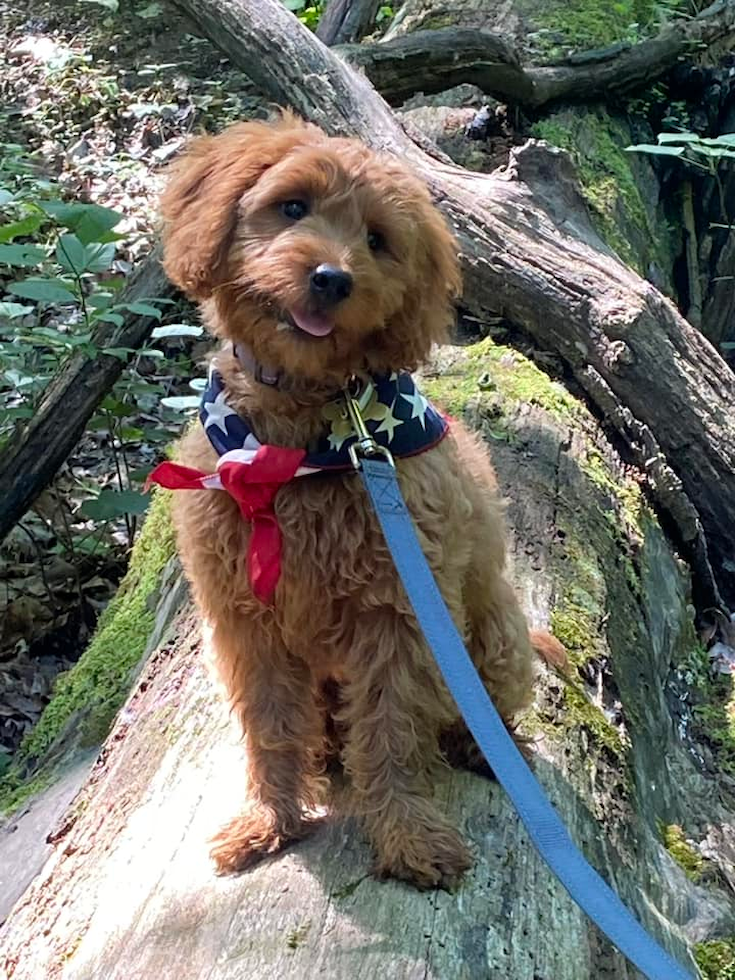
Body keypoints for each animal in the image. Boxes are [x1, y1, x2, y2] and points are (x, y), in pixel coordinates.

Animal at [152, 113, 536, 888]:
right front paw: (268, 819)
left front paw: (408, 834)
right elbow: (270, 729)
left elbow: (391, 731)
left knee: (477, 709)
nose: (331, 277)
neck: (303, 448)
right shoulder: (247, 623)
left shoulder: (397, 616)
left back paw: (481, 745)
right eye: (293, 205)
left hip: (500, 635)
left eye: (378, 240)